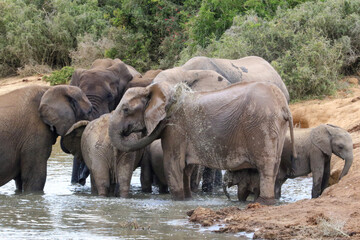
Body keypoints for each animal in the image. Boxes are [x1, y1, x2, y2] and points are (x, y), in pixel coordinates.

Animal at [107, 80, 296, 204]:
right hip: (275, 127)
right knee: (274, 165)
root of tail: (283, 106)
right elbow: (186, 168)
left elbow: (173, 164)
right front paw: (187, 200)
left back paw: (263, 202)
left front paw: (177, 201)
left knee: (266, 167)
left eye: (126, 110)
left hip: (261, 124)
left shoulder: (175, 129)